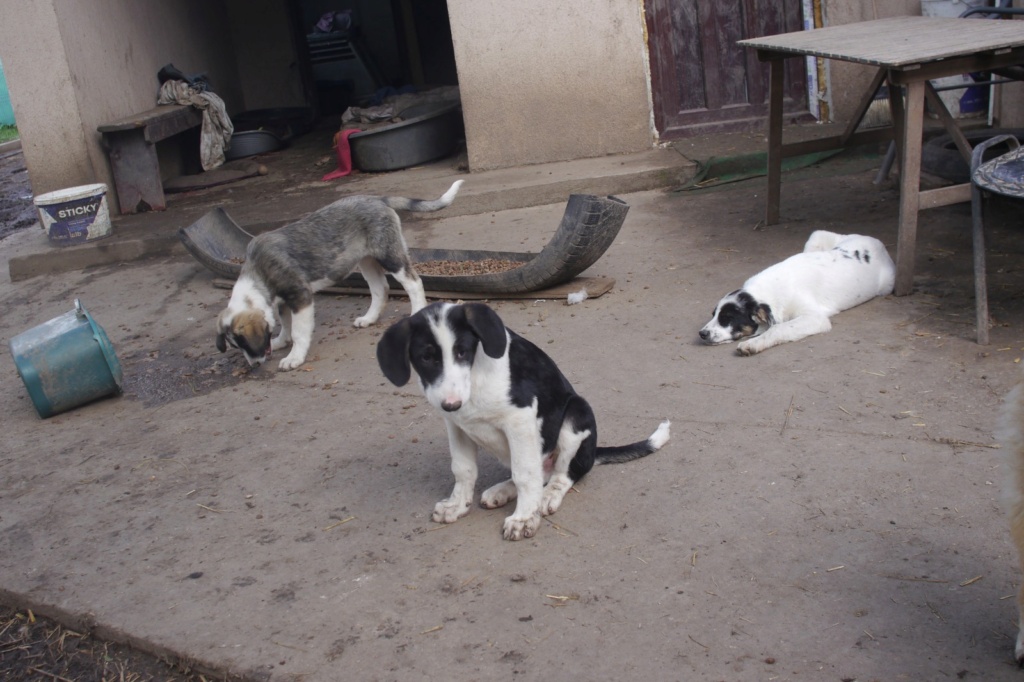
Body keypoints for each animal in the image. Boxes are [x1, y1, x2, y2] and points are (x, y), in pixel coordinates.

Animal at [218, 179, 462, 372]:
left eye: (244, 343)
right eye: (237, 345)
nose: (255, 365)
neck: (258, 271)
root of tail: (377, 199)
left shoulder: (300, 296)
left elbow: (298, 331)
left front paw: (294, 357)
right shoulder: (284, 300)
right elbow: (285, 323)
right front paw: (280, 340)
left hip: (389, 254)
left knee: (413, 282)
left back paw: (416, 310)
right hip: (366, 260)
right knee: (380, 288)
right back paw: (369, 318)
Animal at [376, 301, 671, 540]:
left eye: (462, 352)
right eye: (426, 357)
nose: (451, 403)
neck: (476, 377)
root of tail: (592, 453)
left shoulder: (519, 418)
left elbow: (525, 474)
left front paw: (524, 518)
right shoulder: (455, 424)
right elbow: (463, 469)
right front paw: (457, 505)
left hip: (577, 413)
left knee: (562, 475)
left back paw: (547, 496)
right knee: (541, 471)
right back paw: (502, 491)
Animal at [696, 229, 897, 356]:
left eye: (728, 318)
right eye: (714, 315)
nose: (702, 334)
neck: (769, 290)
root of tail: (876, 241)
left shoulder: (815, 318)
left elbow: (779, 328)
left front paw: (753, 344)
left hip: (887, 285)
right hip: (816, 236)